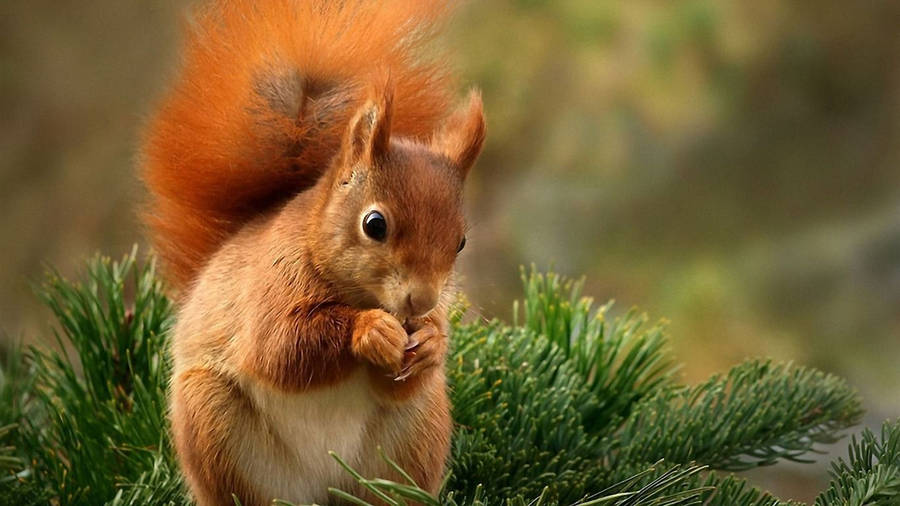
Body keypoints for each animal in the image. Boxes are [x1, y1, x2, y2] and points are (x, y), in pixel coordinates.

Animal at [140, 1, 485, 505]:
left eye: (460, 241)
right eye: (374, 224)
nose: (421, 301)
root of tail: (325, 488)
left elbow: (400, 380)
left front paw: (430, 344)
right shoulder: (271, 286)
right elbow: (280, 348)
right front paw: (370, 330)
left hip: (415, 435)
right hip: (212, 422)